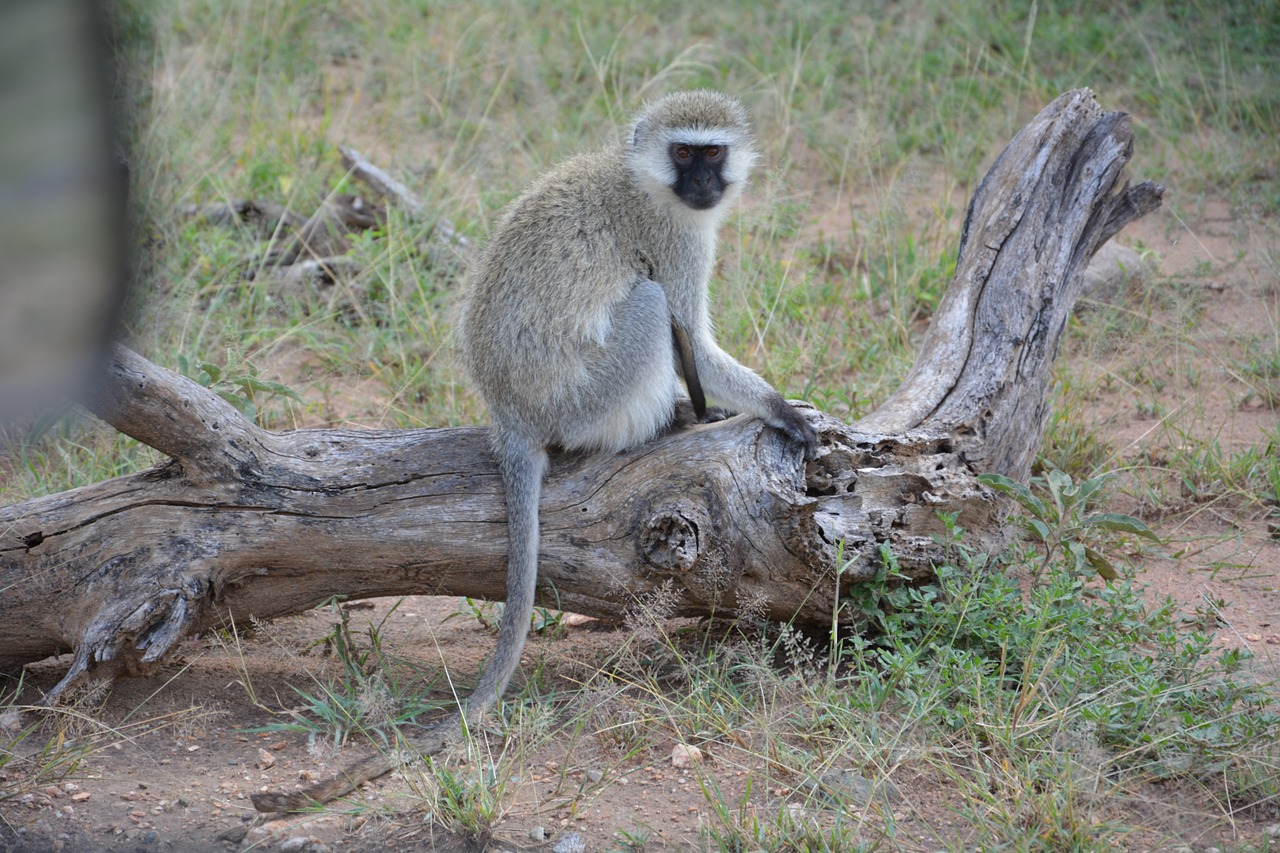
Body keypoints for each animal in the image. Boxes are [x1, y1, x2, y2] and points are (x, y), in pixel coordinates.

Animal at [250, 87, 814, 809]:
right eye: (684, 153)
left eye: (712, 152)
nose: (702, 184)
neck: (644, 181)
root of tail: (509, 415)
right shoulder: (673, 239)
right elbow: (693, 334)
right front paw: (778, 408)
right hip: (584, 397)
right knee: (650, 304)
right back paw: (662, 424)